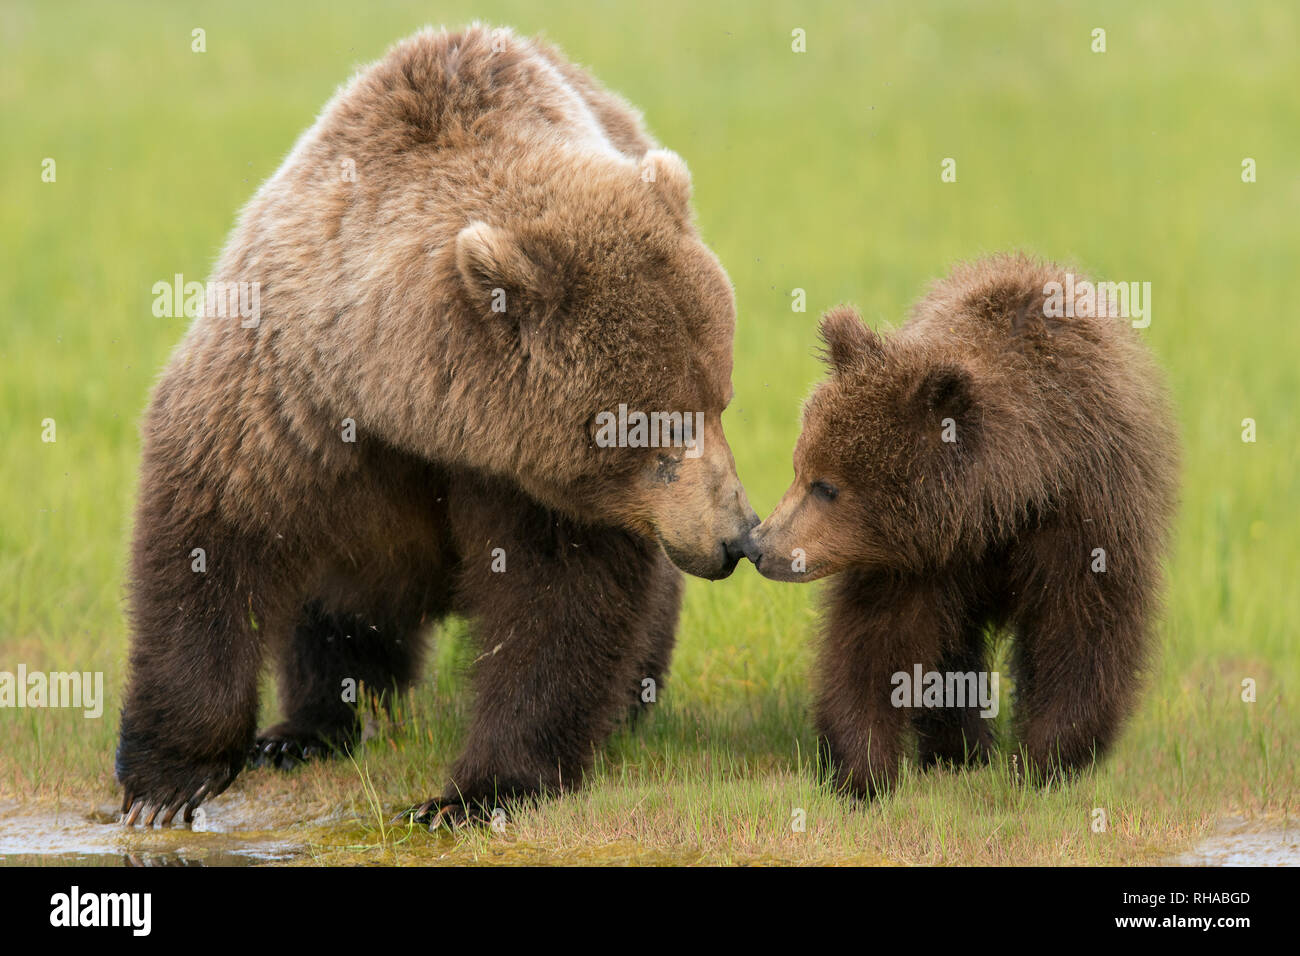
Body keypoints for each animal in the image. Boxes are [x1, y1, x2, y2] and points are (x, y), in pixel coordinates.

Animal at [119, 26, 759, 827]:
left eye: (719, 399)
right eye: (659, 427)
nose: (737, 537)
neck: (413, 408)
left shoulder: (527, 478)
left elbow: (560, 601)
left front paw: (477, 790)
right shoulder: (292, 394)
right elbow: (211, 529)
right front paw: (167, 780)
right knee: (335, 609)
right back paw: (307, 729)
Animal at [743, 254, 1180, 801]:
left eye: (826, 486)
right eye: (800, 467)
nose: (758, 544)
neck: (1006, 504)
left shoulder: (1085, 519)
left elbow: (1081, 634)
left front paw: (1043, 764)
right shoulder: (916, 556)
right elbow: (877, 640)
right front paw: (861, 770)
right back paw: (958, 752)